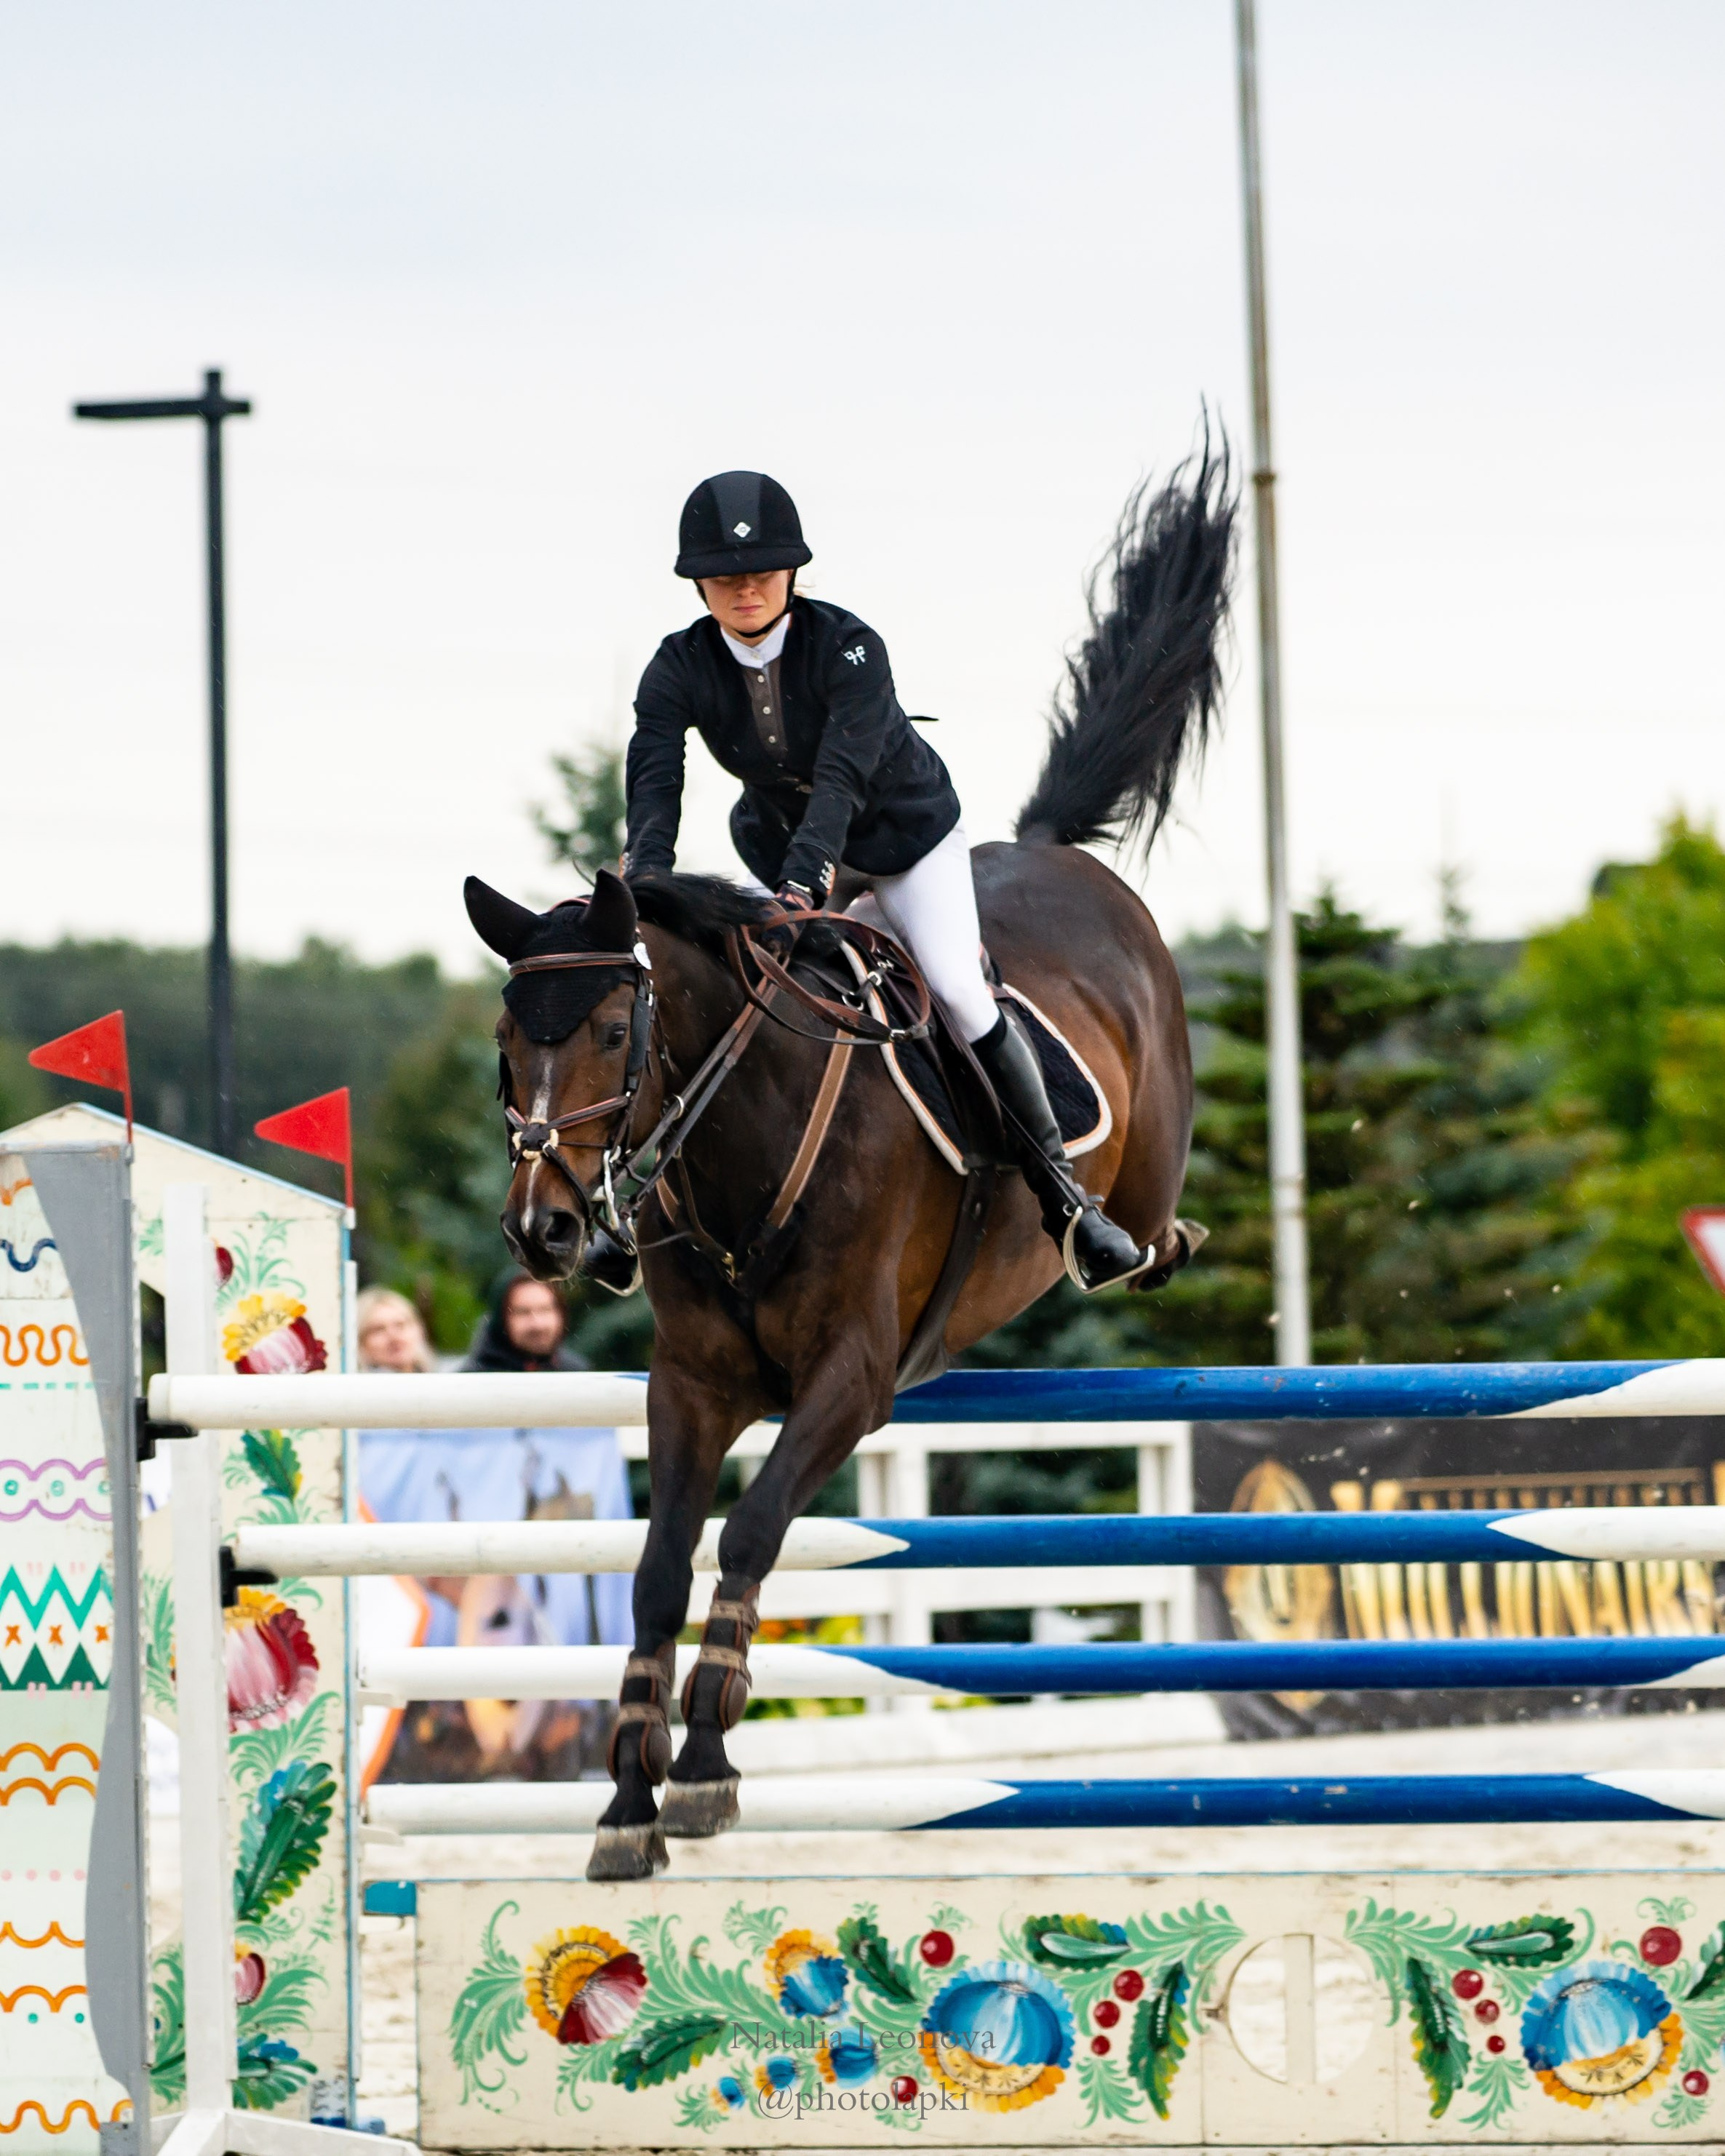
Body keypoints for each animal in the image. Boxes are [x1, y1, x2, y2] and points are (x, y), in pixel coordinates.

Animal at [464, 444, 1234, 1879]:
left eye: (612, 1030)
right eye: (504, 1038)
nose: (547, 1229)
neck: (739, 1144)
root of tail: (1050, 852)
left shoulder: (850, 1375)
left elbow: (757, 1526)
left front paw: (704, 1766)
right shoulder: (693, 1381)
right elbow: (657, 1566)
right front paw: (625, 1795)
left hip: (1139, 1160)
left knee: (1142, 1222)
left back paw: (1122, 1234)